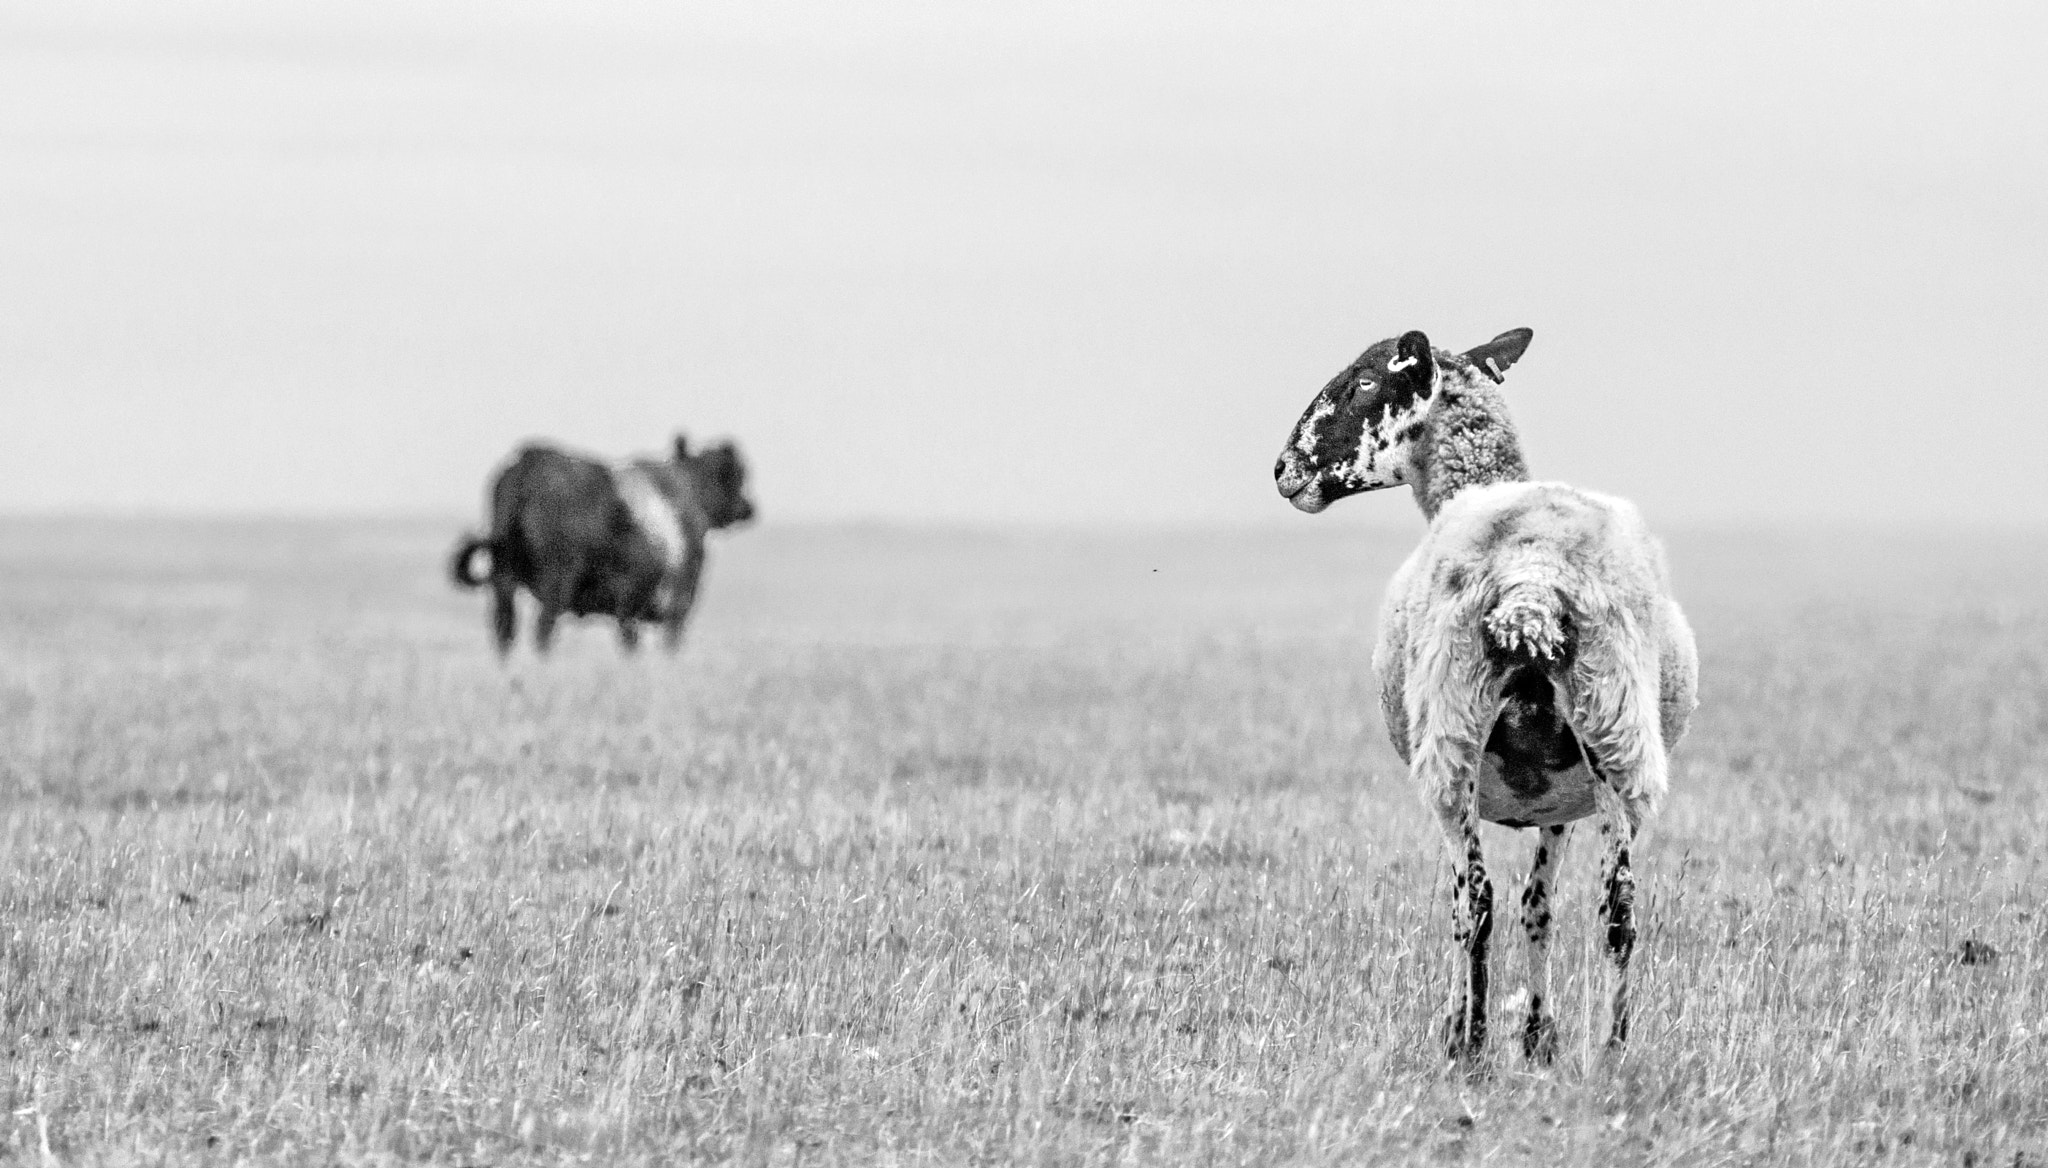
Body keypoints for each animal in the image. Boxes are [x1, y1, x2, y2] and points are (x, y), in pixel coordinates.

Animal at [452, 434, 757, 655]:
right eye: (736, 476)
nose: (748, 508)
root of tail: (531, 462)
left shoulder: (630, 607)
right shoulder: (675, 603)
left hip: (504, 580)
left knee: (504, 631)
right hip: (557, 582)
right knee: (542, 630)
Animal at [1277, 325, 1695, 1057]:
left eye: (1364, 381)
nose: (1280, 469)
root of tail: (1533, 576)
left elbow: (1482, 905)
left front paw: (1482, 1027)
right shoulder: (1562, 794)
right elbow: (1540, 908)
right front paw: (1537, 1036)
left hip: (1454, 736)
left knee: (1473, 902)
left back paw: (1467, 1047)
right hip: (1618, 738)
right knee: (1618, 910)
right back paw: (1612, 1051)